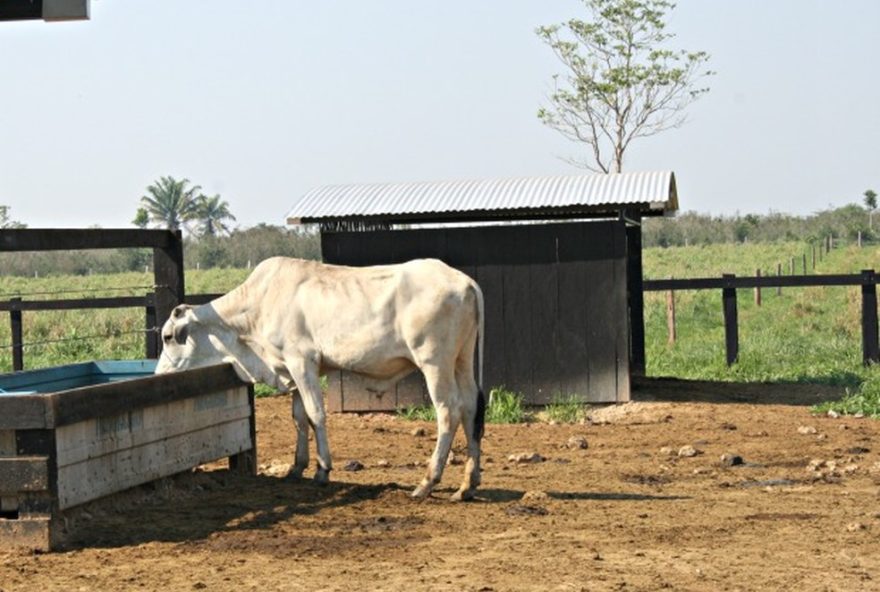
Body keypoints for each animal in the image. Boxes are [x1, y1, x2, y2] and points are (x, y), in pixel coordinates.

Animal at [158, 256, 488, 502]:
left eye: (167, 337)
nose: (159, 373)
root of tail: (465, 282)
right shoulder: (293, 369)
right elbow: (299, 417)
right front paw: (297, 467)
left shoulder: (301, 361)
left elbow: (316, 413)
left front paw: (322, 470)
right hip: (461, 360)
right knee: (470, 407)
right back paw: (467, 485)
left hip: (434, 362)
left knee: (449, 411)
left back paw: (427, 482)